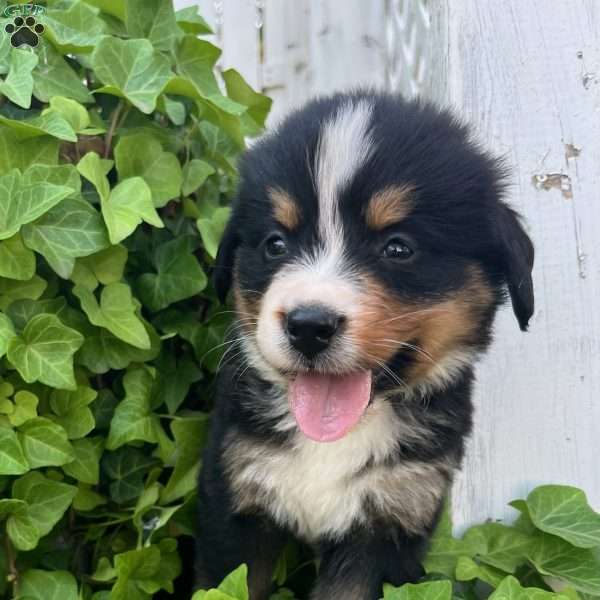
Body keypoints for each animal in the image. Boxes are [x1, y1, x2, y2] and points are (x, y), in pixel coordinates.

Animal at [196, 90, 536, 600]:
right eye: (275, 244)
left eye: (398, 248)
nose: (308, 325)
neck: (334, 440)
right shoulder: (234, 504)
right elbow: (228, 586)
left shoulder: (391, 518)